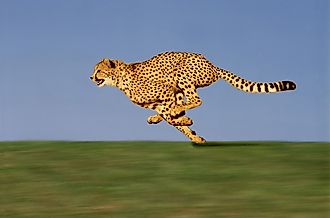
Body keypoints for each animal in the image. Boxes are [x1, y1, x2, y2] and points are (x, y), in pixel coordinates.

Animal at [89, 51, 296, 143]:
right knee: (184, 103)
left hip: (182, 75)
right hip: (180, 88)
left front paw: (187, 123)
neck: (121, 79)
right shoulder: (162, 100)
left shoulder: (166, 91)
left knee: (196, 100)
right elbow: (172, 119)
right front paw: (194, 135)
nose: (90, 77)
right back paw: (159, 118)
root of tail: (213, 65)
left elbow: (172, 116)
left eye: (98, 70)